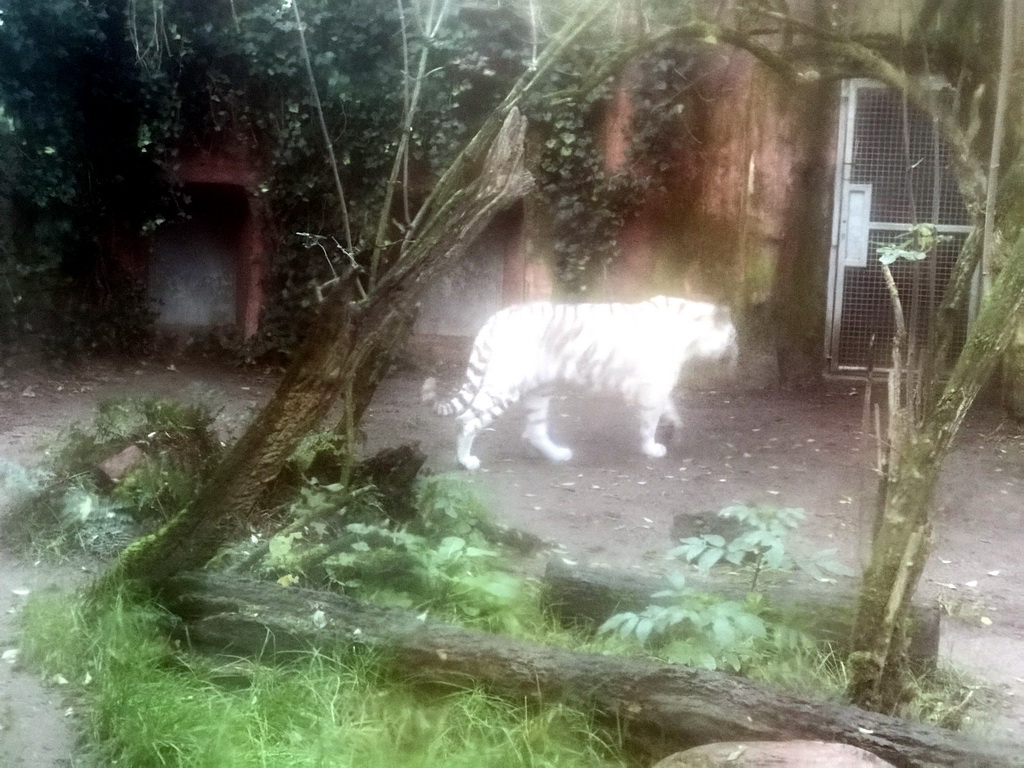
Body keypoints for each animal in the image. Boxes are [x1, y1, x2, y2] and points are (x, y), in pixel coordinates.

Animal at [419, 296, 741, 473]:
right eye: (734, 335)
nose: (739, 352)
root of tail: (496, 318)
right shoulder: (653, 386)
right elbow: (650, 421)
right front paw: (652, 448)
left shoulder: (658, 385)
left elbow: (669, 407)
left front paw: (675, 427)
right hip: (503, 387)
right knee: (466, 420)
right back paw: (466, 462)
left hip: (539, 391)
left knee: (535, 430)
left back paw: (558, 455)